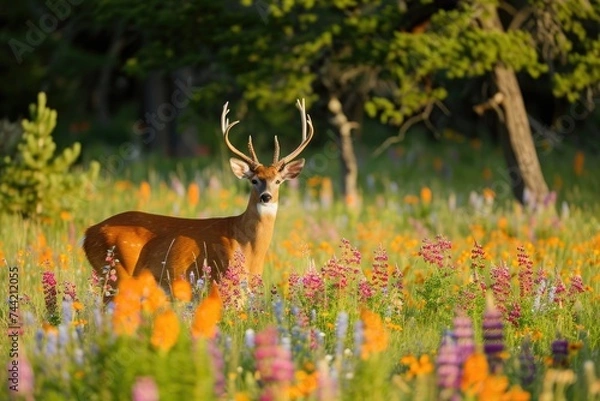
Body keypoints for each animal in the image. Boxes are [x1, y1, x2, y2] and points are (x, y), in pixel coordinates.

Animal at [83, 99, 314, 294]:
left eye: (278, 181)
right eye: (254, 180)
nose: (266, 197)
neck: (248, 248)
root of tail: (87, 234)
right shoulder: (221, 277)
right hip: (118, 270)